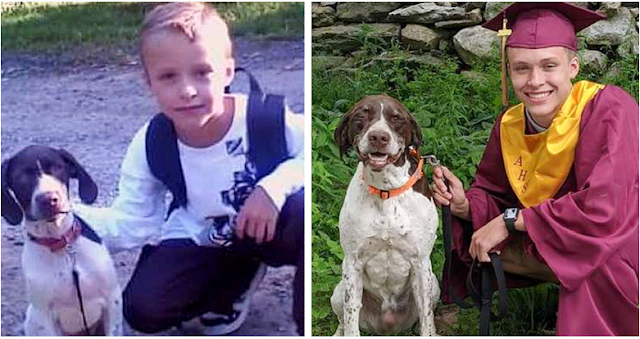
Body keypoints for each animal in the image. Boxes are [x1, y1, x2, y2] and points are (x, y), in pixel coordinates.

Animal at [0, 146, 121, 338]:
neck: (62, 245)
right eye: (21, 177)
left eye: (57, 168)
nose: (49, 199)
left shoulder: (113, 298)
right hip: (32, 317)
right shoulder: (44, 317)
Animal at [330, 95, 440, 338]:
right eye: (362, 114)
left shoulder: (421, 262)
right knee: (342, 320)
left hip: (434, 283)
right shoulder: (352, 263)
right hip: (338, 291)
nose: (379, 137)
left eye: (396, 118)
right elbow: (351, 319)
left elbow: (427, 317)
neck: (386, 189)